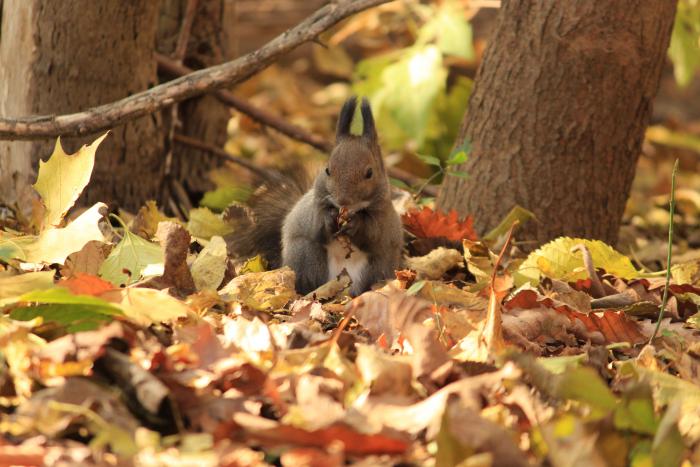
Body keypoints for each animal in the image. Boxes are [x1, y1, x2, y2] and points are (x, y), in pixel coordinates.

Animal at [227, 97, 402, 296]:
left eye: (370, 173)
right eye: (327, 170)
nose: (343, 200)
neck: (349, 210)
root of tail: (341, 286)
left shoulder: (383, 216)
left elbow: (373, 234)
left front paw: (356, 225)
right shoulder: (314, 208)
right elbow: (316, 224)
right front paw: (329, 219)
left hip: (377, 267)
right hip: (306, 254)